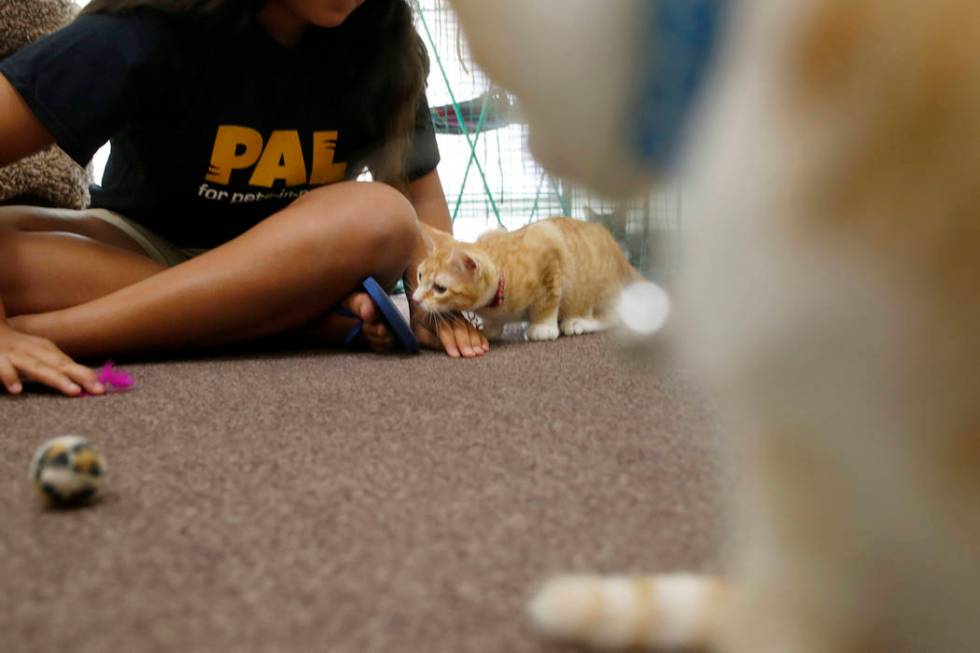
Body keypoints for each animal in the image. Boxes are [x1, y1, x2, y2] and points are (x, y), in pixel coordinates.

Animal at [412, 219, 644, 342]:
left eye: (439, 288)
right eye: (420, 275)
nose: (415, 299)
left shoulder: (549, 249)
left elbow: (548, 300)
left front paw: (542, 327)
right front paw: (490, 329)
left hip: (602, 291)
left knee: (614, 317)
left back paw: (579, 322)